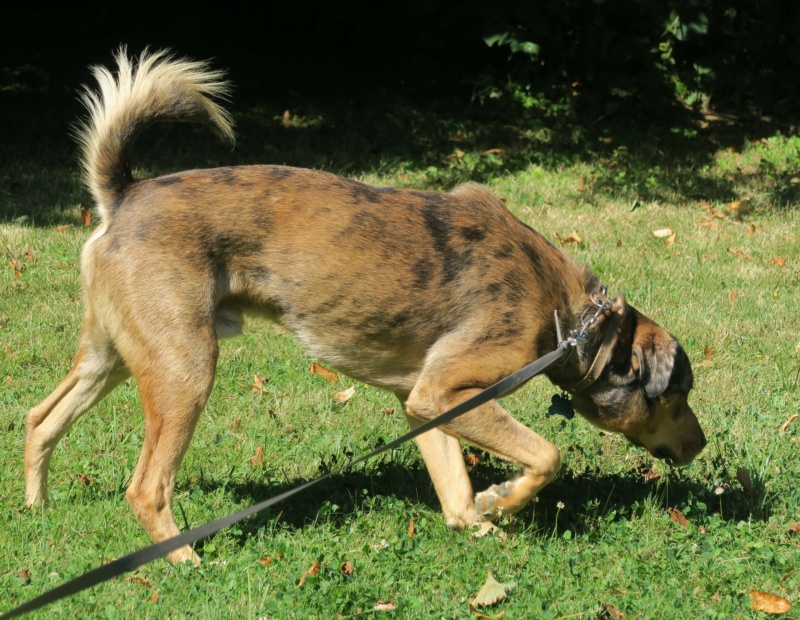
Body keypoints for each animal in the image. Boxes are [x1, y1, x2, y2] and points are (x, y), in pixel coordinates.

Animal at [23, 50, 708, 564]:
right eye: (676, 396)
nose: (701, 445)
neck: (574, 319)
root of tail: (124, 196)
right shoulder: (447, 393)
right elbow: (546, 456)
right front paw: (503, 499)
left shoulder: (426, 403)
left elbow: (456, 491)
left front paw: (478, 521)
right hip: (185, 370)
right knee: (146, 488)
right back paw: (183, 559)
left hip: (115, 355)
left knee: (39, 419)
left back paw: (36, 509)